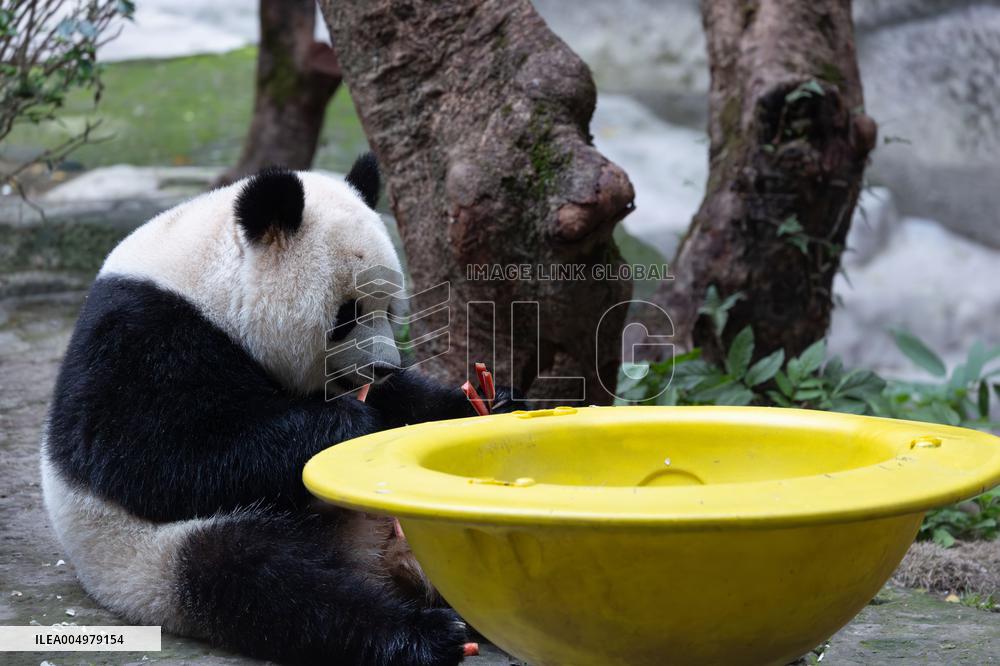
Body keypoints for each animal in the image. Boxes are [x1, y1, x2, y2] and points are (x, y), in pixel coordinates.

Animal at [40, 155, 514, 665]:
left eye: (389, 309)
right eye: (346, 314)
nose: (385, 365)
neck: (208, 282)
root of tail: (377, 558)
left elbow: (406, 404)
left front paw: (487, 404)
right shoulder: (140, 338)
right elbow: (157, 458)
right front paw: (345, 427)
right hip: (152, 558)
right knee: (262, 579)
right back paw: (422, 635)